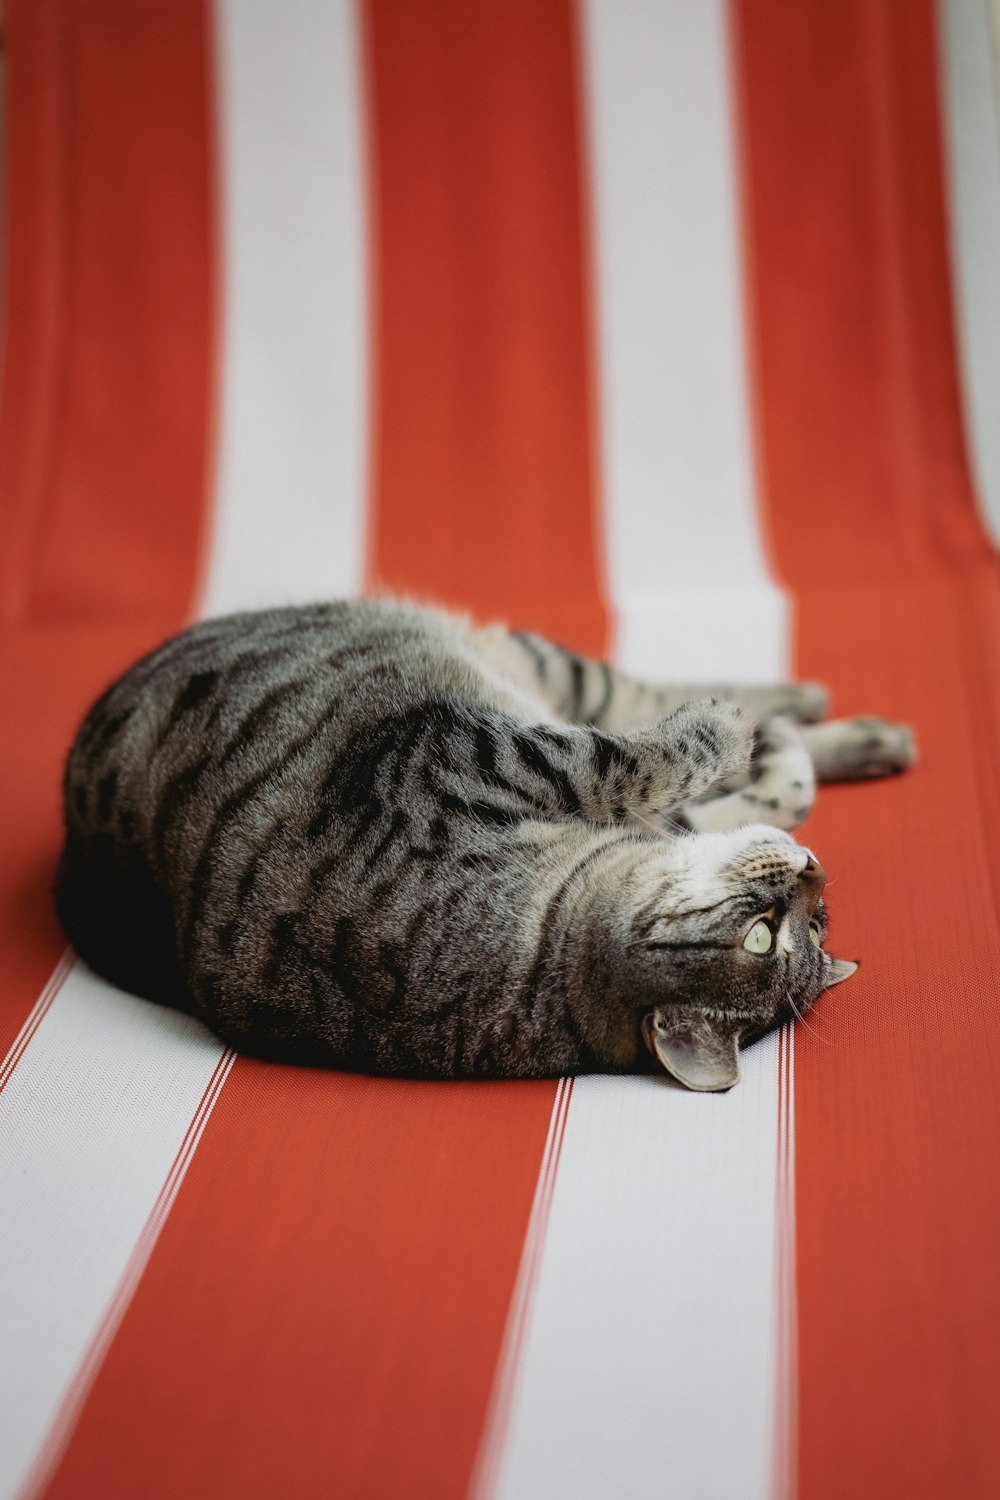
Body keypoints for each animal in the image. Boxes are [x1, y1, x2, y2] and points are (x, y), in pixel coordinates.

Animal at [54, 594, 917, 1092]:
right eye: (769, 934)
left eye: (814, 927)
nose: (816, 872)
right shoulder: (473, 752)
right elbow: (635, 757)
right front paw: (743, 737)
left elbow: (746, 782)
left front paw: (770, 752)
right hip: (547, 673)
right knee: (647, 698)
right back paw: (801, 705)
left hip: (548, 671)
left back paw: (850, 730)